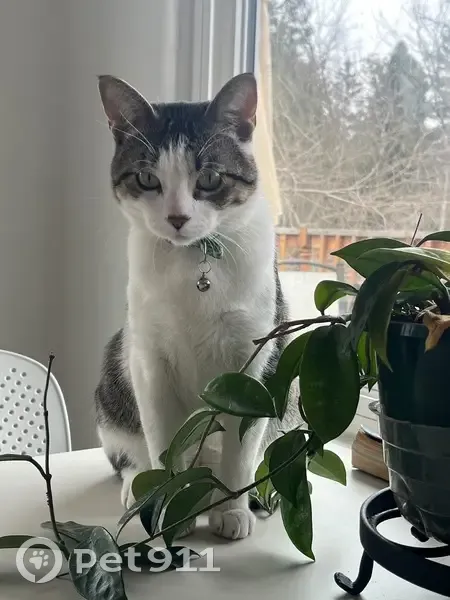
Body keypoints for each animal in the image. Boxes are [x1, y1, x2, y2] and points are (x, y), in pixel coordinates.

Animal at [95, 72, 296, 540]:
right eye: (146, 178)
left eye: (209, 178)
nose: (177, 218)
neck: (193, 266)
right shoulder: (149, 360)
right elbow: (163, 443)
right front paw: (173, 508)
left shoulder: (252, 364)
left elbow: (241, 449)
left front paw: (233, 510)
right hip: (115, 375)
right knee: (127, 456)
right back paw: (137, 486)